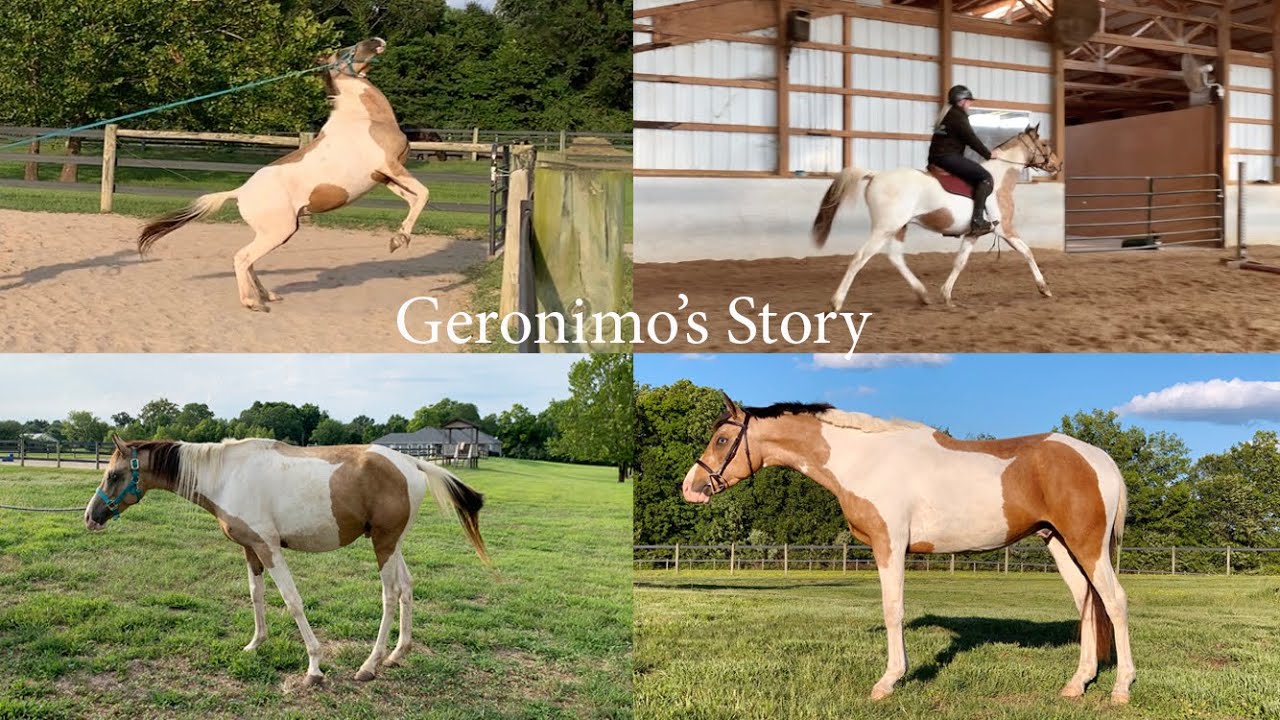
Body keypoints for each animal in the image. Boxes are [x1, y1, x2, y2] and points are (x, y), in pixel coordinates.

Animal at [83, 436, 488, 686]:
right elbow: (256, 595)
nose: (91, 517)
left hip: (384, 545)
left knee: (389, 596)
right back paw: (397, 654)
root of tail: (411, 463)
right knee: (406, 589)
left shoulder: (269, 547)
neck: (226, 475)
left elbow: (292, 602)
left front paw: (314, 667)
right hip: (392, 543)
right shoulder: (250, 549)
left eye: (114, 474)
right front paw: (255, 643)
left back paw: (369, 665)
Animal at [137, 38, 430, 312]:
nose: (376, 41)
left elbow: (414, 199)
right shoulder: (390, 167)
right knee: (243, 258)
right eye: (340, 51)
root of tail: (240, 192)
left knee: (251, 262)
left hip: (275, 232)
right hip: (280, 231)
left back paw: (267, 295)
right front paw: (399, 239)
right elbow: (425, 194)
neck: (365, 119)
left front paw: (398, 238)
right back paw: (252, 302)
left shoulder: (386, 177)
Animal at [681, 394, 1134, 703]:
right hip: (1059, 543)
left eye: (722, 439)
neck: (865, 460)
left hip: (1087, 545)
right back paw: (1077, 684)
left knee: (1114, 601)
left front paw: (889, 681)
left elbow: (892, 609)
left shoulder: (890, 544)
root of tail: (1102, 460)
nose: (691, 487)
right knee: (1086, 602)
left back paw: (1121, 688)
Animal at [811, 125, 1063, 310]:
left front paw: (946, 295)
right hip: (885, 228)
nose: (1058, 164)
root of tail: (875, 175)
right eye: (1044, 144)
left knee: (895, 257)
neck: (999, 179)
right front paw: (1044, 288)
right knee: (860, 258)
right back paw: (836, 302)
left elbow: (960, 262)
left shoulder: (973, 233)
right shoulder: (1006, 229)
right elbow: (1028, 252)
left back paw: (923, 295)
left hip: (898, 227)